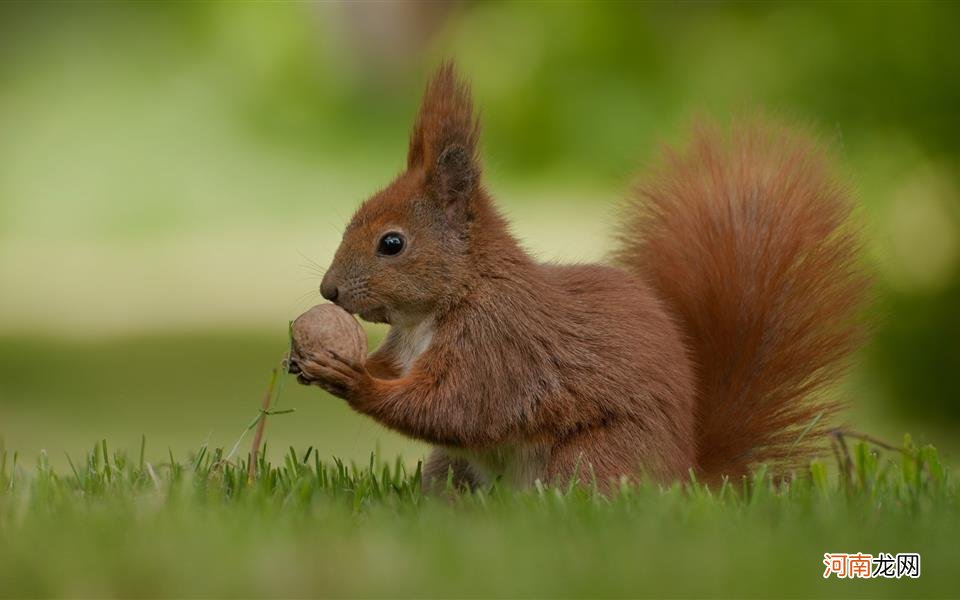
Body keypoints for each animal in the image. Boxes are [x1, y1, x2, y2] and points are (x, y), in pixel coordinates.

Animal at [288, 62, 868, 492]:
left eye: (392, 244)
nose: (328, 291)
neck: (433, 312)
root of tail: (687, 477)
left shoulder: (500, 347)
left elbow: (455, 408)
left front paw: (354, 380)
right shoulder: (409, 347)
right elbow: (401, 377)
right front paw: (312, 360)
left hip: (590, 459)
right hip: (451, 469)